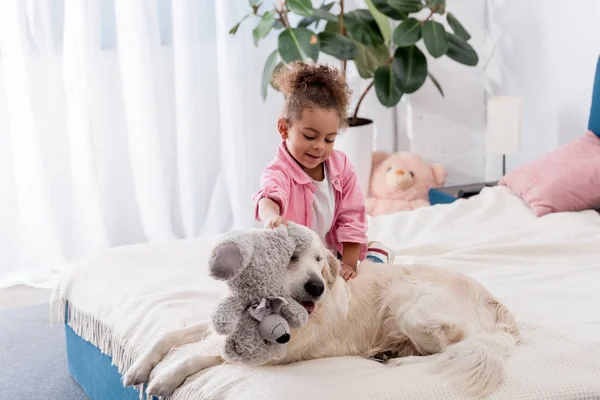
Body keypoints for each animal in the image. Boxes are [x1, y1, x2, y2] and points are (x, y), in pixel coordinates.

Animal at [123, 227, 520, 398]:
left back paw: (396, 360)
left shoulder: (268, 354)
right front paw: (140, 367)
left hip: (409, 302)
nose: (317, 287)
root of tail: (497, 308)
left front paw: (164, 379)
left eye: (318, 260)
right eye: (291, 258)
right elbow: (169, 335)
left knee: (448, 351)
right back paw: (390, 352)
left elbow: (197, 358)